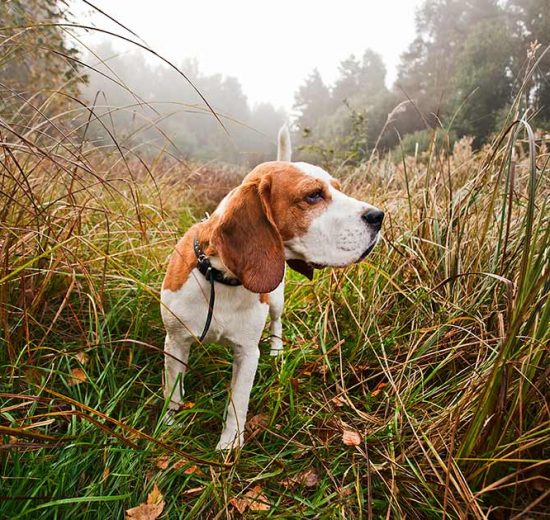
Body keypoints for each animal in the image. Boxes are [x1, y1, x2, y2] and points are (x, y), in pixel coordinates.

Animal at [161, 124, 384, 448]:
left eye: (338, 187)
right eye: (313, 195)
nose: (379, 217)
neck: (223, 279)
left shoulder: (247, 352)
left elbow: (238, 403)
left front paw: (229, 446)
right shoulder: (175, 341)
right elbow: (172, 391)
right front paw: (168, 426)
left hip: (276, 300)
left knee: (277, 323)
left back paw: (277, 352)